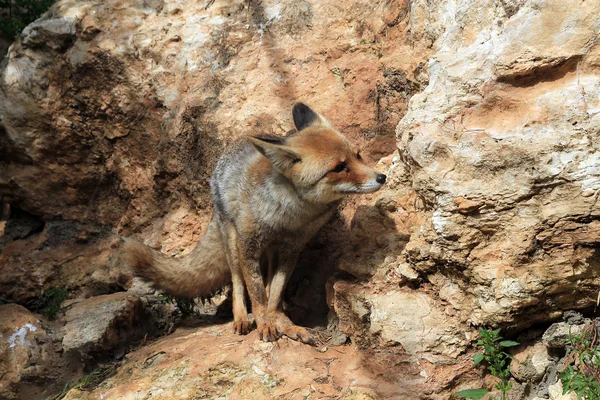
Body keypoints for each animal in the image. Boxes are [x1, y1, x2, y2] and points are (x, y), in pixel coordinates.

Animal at [123, 103, 386, 344]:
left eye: (358, 155)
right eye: (339, 168)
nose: (382, 177)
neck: (290, 215)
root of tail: (233, 145)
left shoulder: (292, 249)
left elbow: (274, 294)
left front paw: (283, 324)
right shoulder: (248, 245)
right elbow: (257, 294)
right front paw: (265, 325)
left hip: (270, 251)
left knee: (268, 287)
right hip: (233, 243)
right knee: (238, 283)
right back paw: (241, 319)